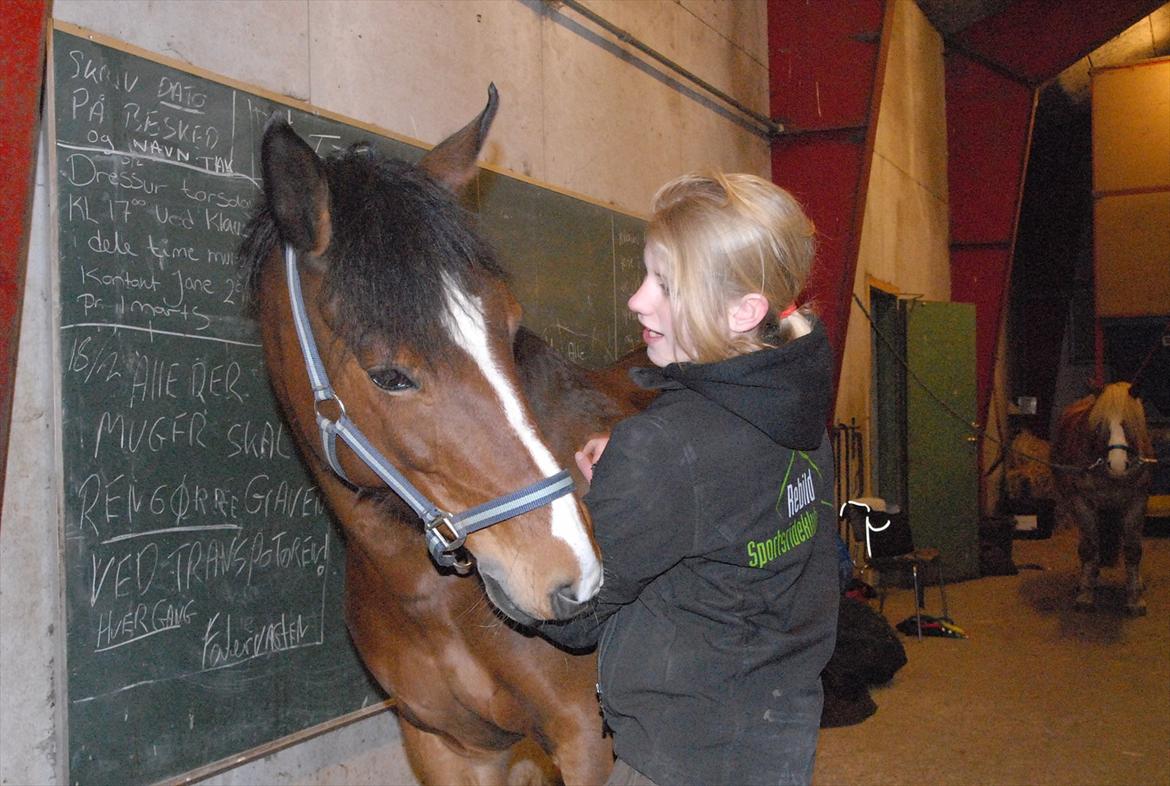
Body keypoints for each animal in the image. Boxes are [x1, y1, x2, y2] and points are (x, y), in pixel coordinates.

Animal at [239, 86, 648, 784]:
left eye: (509, 329)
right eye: (389, 375)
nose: (574, 574)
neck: (432, 600)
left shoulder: (587, 745)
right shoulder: (447, 743)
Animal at [1051, 381, 1154, 615]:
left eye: (1130, 424)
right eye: (1100, 426)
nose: (1117, 464)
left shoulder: (1137, 502)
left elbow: (1133, 550)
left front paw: (1135, 599)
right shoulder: (1082, 502)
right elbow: (1089, 548)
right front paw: (1085, 595)